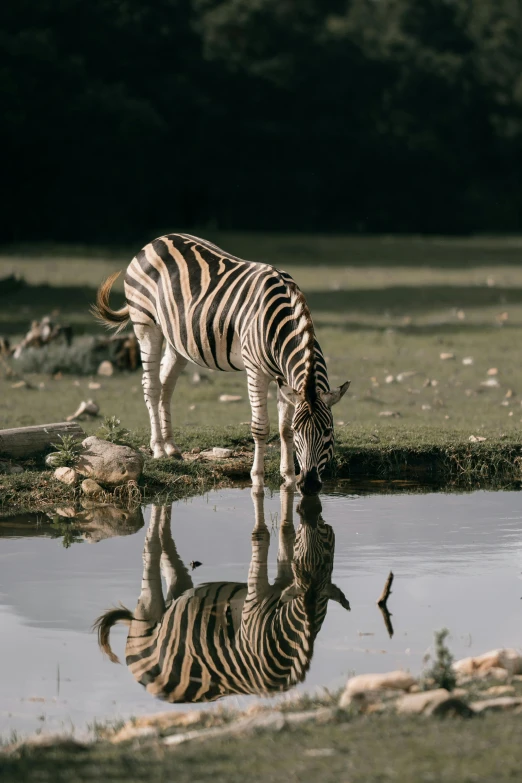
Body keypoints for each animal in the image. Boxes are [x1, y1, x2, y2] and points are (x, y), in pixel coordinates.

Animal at [92, 233, 350, 496]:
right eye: (301, 432)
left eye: (328, 431)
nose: (308, 485)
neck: (280, 324)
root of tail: (157, 240)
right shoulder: (255, 370)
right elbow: (261, 428)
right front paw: (257, 478)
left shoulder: (285, 380)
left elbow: (283, 428)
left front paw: (287, 477)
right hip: (146, 325)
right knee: (151, 386)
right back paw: (158, 448)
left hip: (178, 341)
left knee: (166, 385)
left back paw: (171, 448)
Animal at [93, 490, 350, 704]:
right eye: (326, 541)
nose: (313, 513)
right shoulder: (255, 601)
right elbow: (262, 537)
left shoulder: (285, 583)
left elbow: (285, 536)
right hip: (147, 615)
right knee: (151, 549)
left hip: (178, 595)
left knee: (169, 557)